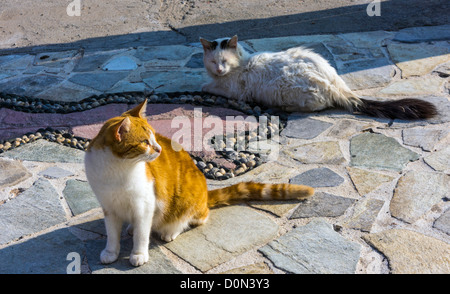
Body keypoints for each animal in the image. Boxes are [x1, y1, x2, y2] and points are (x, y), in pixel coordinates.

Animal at [86, 100, 314, 268]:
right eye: (144, 142)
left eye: (154, 138)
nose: (159, 149)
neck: (118, 169)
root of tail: (205, 193)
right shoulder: (109, 207)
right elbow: (112, 234)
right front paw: (111, 252)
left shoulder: (145, 205)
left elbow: (143, 233)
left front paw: (139, 254)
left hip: (188, 203)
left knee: (197, 217)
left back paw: (171, 230)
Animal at [200, 35, 436, 119]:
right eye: (213, 62)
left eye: (224, 61)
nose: (219, 69)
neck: (242, 64)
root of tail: (337, 84)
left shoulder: (235, 91)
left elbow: (209, 86)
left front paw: (204, 85)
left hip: (286, 88)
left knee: (319, 106)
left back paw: (285, 108)